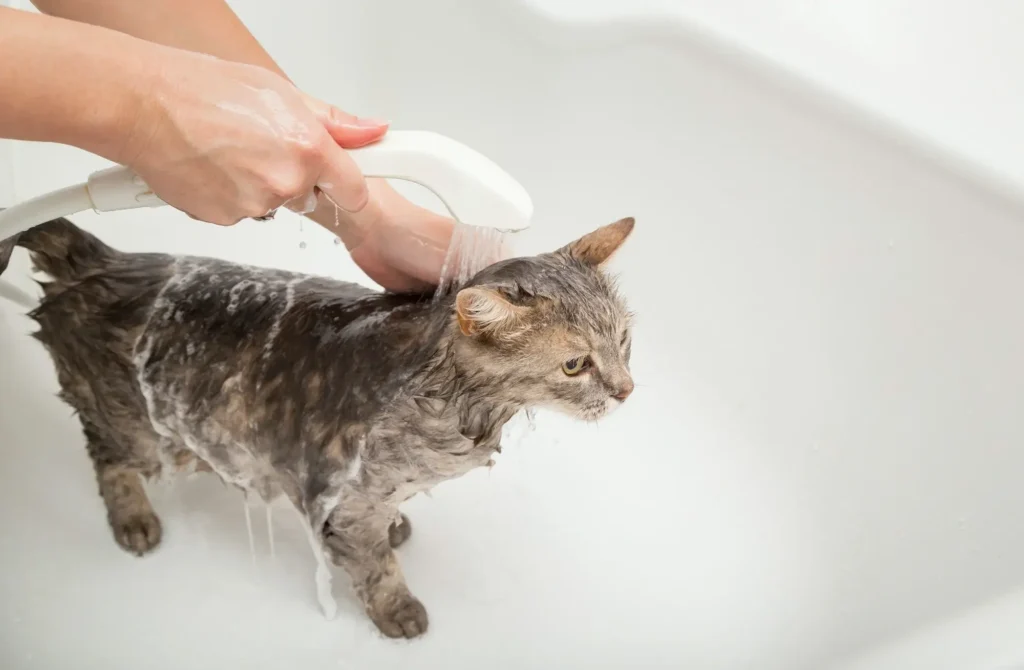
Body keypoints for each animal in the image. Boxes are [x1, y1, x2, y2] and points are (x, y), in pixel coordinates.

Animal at [0, 216, 634, 639]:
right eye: (576, 364)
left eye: (624, 340)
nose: (627, 390)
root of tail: (102, 261)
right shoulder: (345, 490)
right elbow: (376, 566)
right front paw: (396, 607)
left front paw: (397, 526)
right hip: (138, 429)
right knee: (107, 458)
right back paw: (133, 520)